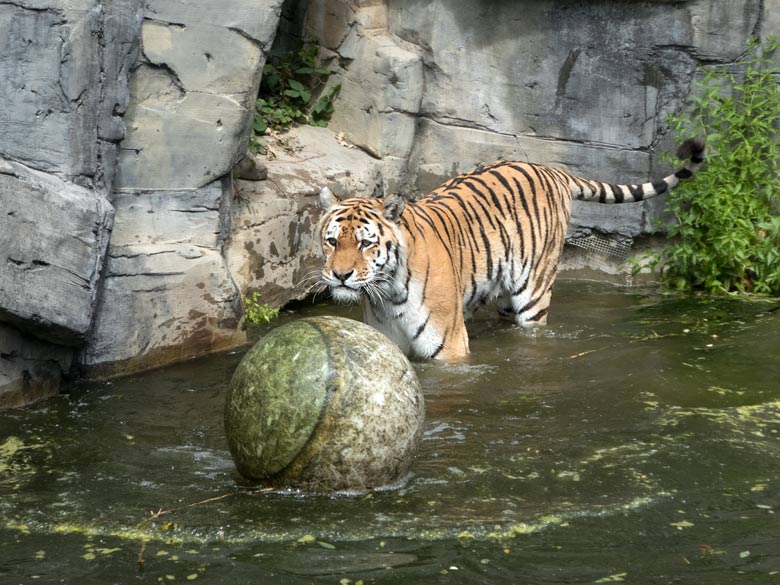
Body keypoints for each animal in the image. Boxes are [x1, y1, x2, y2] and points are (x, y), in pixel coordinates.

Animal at [316, 139, 708, 358]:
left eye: (366, 244)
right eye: (332, 241)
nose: (340, 275)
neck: (388, 293)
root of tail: (551, 170)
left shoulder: (451, 349)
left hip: (533, 293)